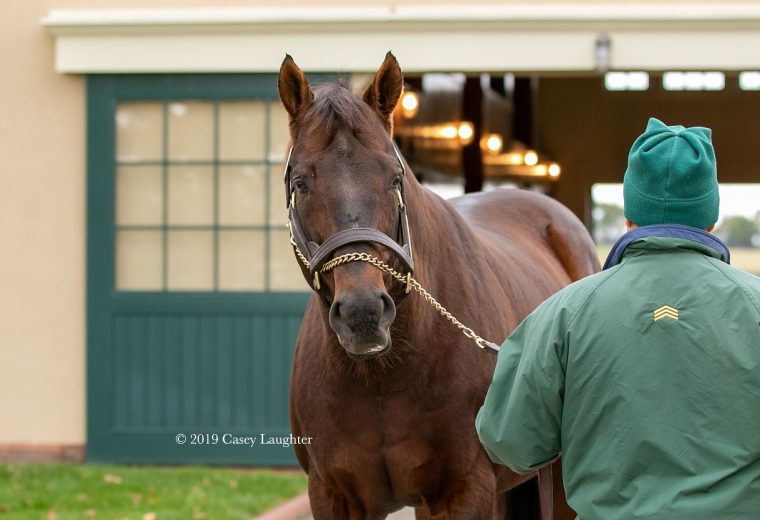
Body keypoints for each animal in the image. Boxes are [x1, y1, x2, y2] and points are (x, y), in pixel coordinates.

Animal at [278, 50, 600, 516]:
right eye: (301, 182)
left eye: (395, 177)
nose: (363, 313)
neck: (382, 376)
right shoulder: (333, 495)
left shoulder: (462, 491)